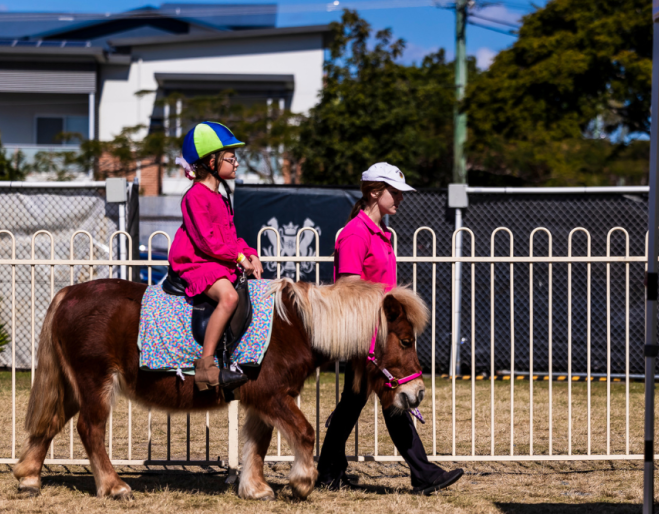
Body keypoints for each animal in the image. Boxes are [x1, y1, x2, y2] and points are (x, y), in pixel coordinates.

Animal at [13, 277, 429, 501]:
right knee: (90, 429)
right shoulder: (272, 395)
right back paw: (113, 486)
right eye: (406, 341)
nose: (417, 394)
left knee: (50, 424)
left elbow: (257, 442)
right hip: (95, 382)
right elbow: (305, 432)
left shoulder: (264, 400)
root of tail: (69, 293)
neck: (296, 326)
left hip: (72, 386)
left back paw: (29, 477)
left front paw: (254, 488)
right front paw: (301, 483)